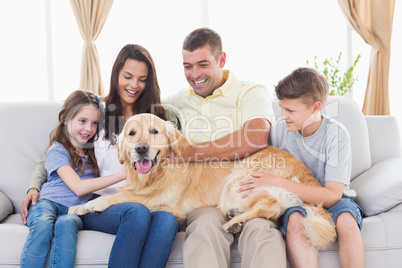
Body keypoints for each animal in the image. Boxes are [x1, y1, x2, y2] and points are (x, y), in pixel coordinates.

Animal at [69, 113, 336, 249]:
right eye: (131, 133)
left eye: (155, 131)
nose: (141, 148)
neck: (158, 173)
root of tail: (308, 177)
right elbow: (119, 191)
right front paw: (79, 206)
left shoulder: (166, 201)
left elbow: (125, 195)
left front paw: (94, 204)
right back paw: (237, 219)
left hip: (238, 178)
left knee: (270, 204)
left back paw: (234, 221)